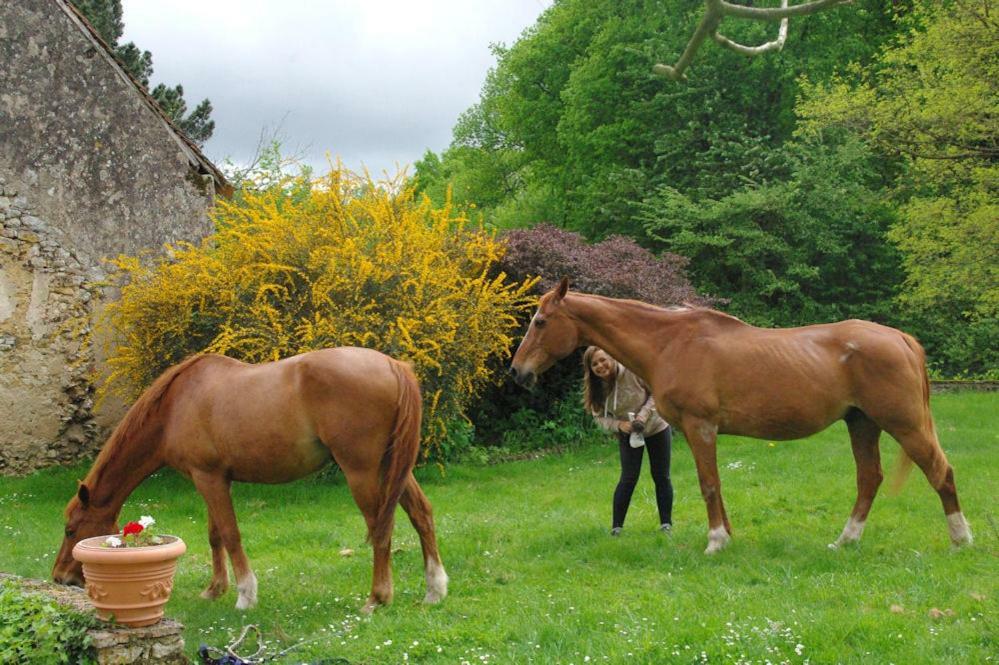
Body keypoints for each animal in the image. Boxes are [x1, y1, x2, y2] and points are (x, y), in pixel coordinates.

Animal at [49, 348, 450, 612]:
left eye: (71, 529)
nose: (60, 578)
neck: (176, 406)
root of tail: (393, 365)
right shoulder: (212, 479)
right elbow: (214, 535)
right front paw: (214, 590)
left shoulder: (208, 478)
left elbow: (230, 534)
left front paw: (245, 594)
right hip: (393, 469)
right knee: (422, 514)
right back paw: (434, 589)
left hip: (362, 472)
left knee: (381, 529)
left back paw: (377, 598)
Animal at [512, 280, 972, 556]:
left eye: (541, 321)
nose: (517, 372)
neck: (670, 343)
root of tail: (900, 338)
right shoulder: (698, 432)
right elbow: (715, 485)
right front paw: (728, 536)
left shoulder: (700, 427)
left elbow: (708, 485)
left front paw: (715, 542)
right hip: (862, 423)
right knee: (869, 479)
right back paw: (845, 540)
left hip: (904, 425)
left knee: (940, 472)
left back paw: (960, 538)